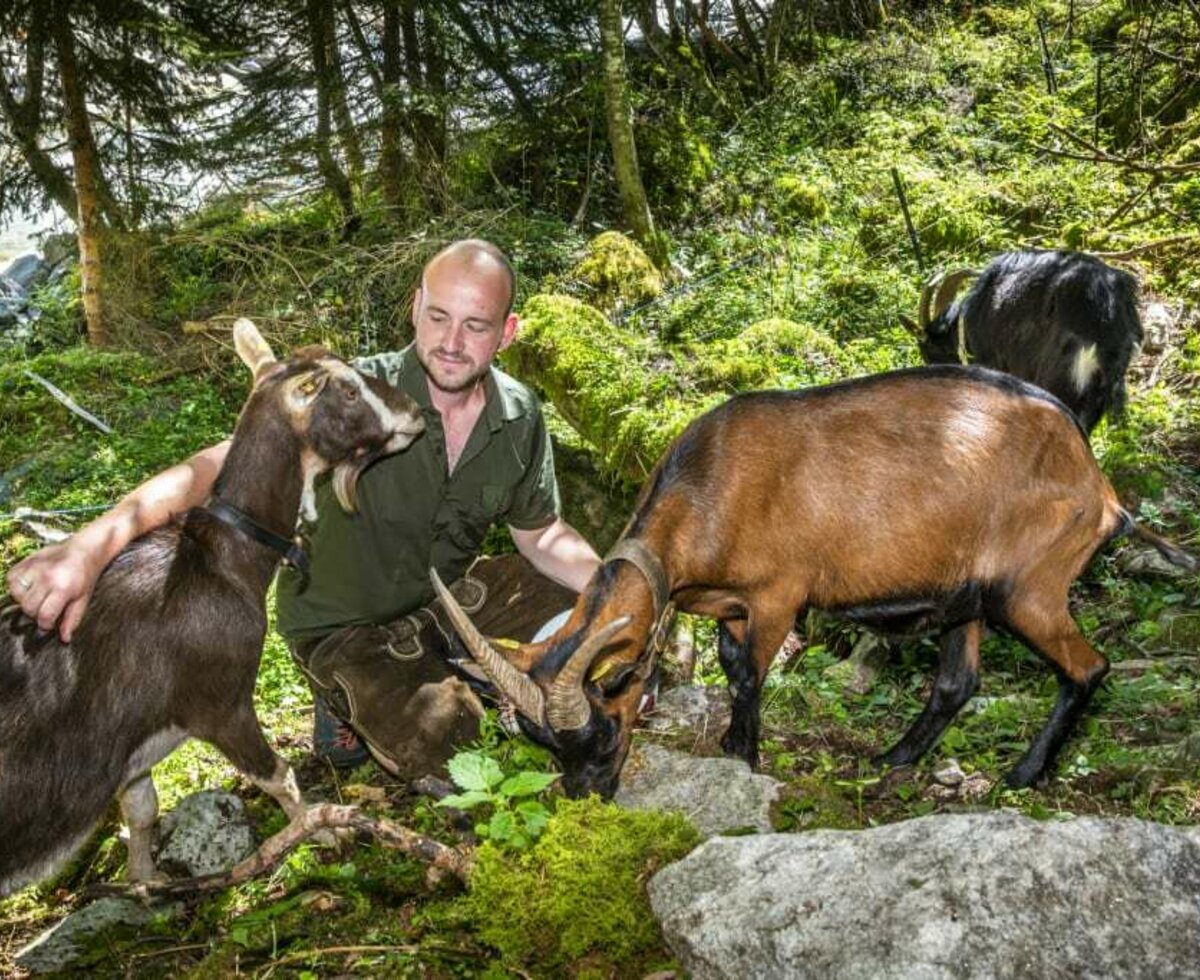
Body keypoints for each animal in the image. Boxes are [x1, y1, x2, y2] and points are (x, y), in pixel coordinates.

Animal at [1, 321, 427, 892]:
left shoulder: (132, 752)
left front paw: (146, 884)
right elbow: (278, 775)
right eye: (348, 389)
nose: (415, 412)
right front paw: (325, 834)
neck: (220, 563)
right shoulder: (221, 703)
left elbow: (142, 807)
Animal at [436, 362, 1195, 801]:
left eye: (599, 734)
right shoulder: (730, 605)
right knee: (958, 681)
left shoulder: (780, 595)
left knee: (1089, 667)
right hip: (968, 594)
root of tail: (1097, 484)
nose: (584, 797)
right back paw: (894, 758)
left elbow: (748, 674)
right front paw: (734, 745)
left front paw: (744, 756)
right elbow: (728, 662)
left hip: (1030, 586)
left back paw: (1024, 774)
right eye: (543, 746)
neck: (709, 488)